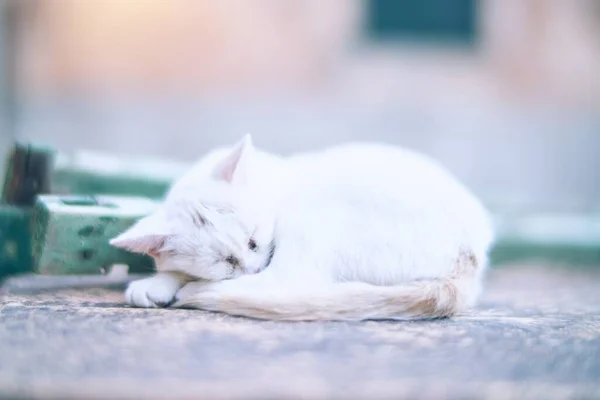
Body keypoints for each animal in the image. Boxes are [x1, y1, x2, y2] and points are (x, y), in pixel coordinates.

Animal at [111, 136, 492, 320]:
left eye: (253, 242)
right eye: (225, 262)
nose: (250, 267)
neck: (269, 183)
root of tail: (468, 252)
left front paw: (176, 284)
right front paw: (159, 283)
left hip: (312, 218)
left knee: (290, 280)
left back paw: (197, 292)